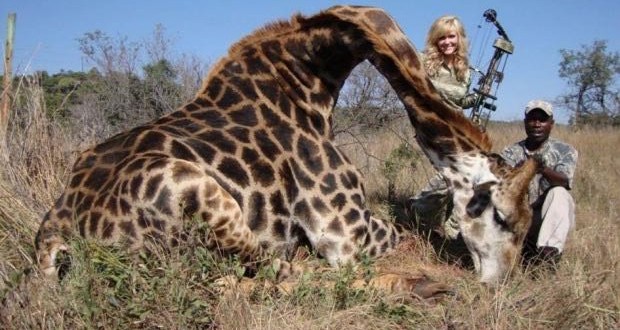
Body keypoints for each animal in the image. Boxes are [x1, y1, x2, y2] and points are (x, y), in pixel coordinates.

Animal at [34, 5, 536, 290]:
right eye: (503, 217)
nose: (502, 285)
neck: (315, 76)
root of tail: (58, 235)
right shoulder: (345, 234)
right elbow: (406, 231)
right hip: (196, 191)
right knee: (267, 272)